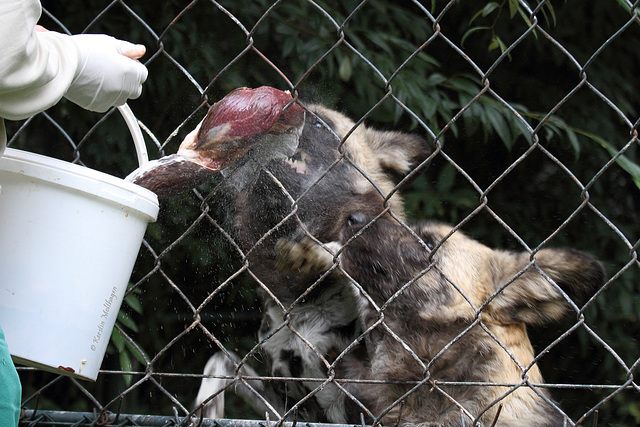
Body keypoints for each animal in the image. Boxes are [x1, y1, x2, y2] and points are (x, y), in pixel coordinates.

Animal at [192, 104, 428, 424]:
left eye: (319, 123)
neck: (307, 300)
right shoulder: (292, 406)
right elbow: (220, 362)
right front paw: (206, 409)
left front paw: (319, 254)